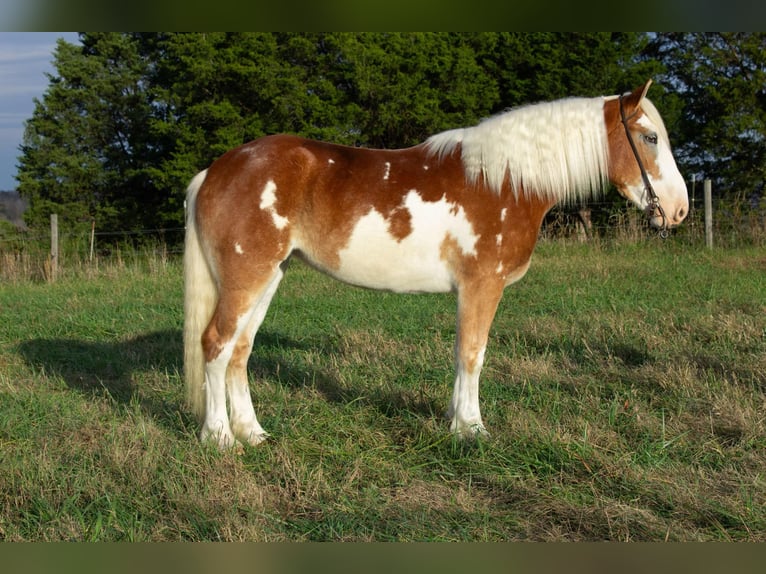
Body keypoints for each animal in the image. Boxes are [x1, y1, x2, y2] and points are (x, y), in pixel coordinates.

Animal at [184, 80, 688, 450]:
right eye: (650, 137)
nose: (679, 210)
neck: (504, 181)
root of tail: (214, 171)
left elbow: (461, 352)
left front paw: (454, 419)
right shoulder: (482, 285)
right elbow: (473, 353)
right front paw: (471, 429)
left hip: (269, 277)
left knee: (240, 351)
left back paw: (253, 434)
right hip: (247, 279)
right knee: (215, 344)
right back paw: (220, 439)